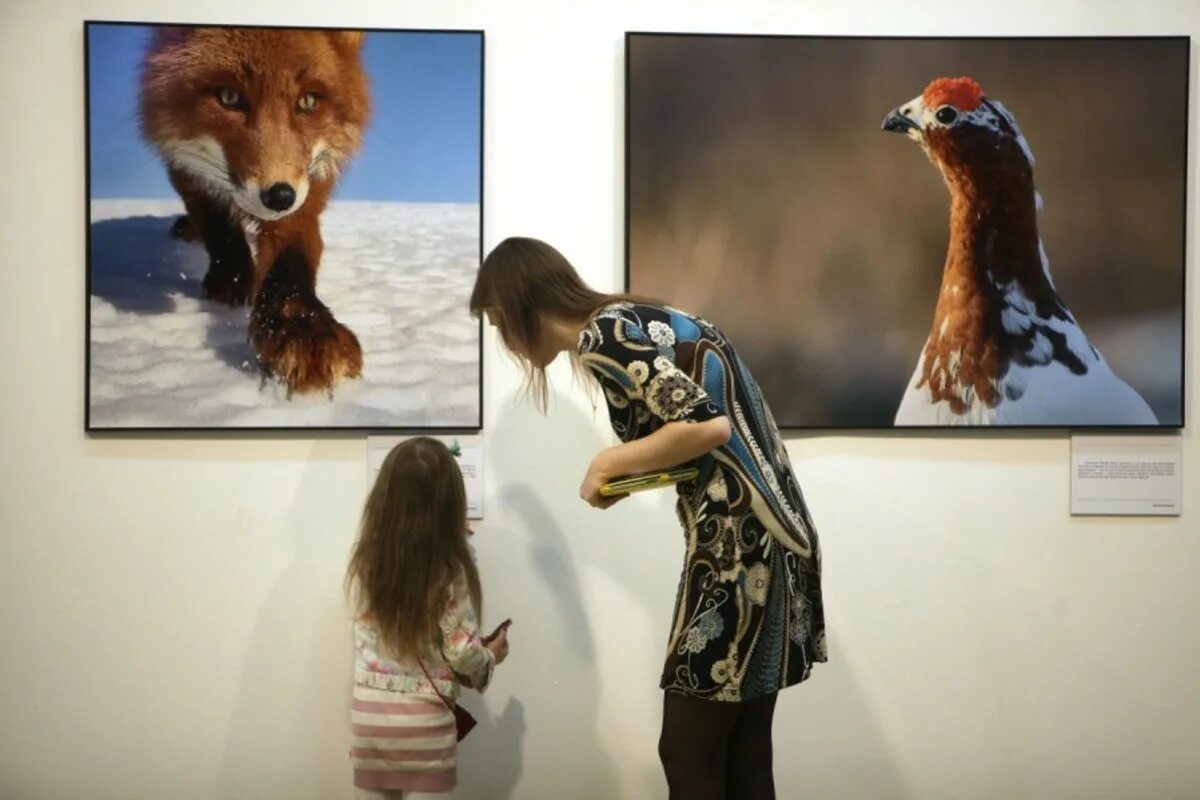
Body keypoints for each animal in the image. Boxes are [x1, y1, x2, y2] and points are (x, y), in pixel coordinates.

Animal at [138, 26, 369, 395]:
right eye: (230, 96)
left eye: (308, 101)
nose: (279, 196)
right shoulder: (184, 167)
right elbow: (218, 227)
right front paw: (230, 279)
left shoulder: (308, 191)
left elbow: (292, 260)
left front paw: (304, 327)